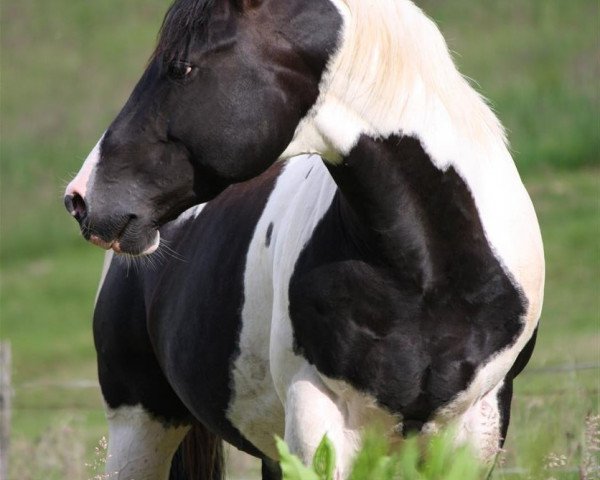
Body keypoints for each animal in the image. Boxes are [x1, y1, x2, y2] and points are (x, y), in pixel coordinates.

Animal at [64, 0, 544, 478]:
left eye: (180, 67)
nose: (80, 199)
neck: (429, 275)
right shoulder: (318, 415)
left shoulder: (476, 426)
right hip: (140, 424)